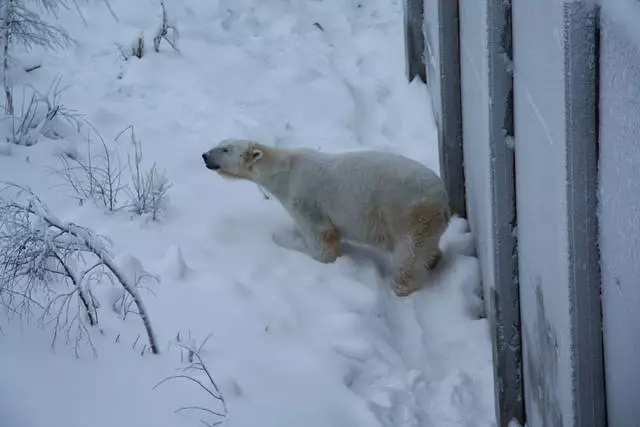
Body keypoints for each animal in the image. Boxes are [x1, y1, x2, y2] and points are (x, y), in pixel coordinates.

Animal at [202, 140, 452, 298]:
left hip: (410, 214)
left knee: (409, 254)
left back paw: (402, 286)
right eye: (220, 142)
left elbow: (322, 236)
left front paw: (308, 253)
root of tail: (443, 199)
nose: (204, 155)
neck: (285, 171)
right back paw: (434, 260)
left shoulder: (305, 199)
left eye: (225, 148)